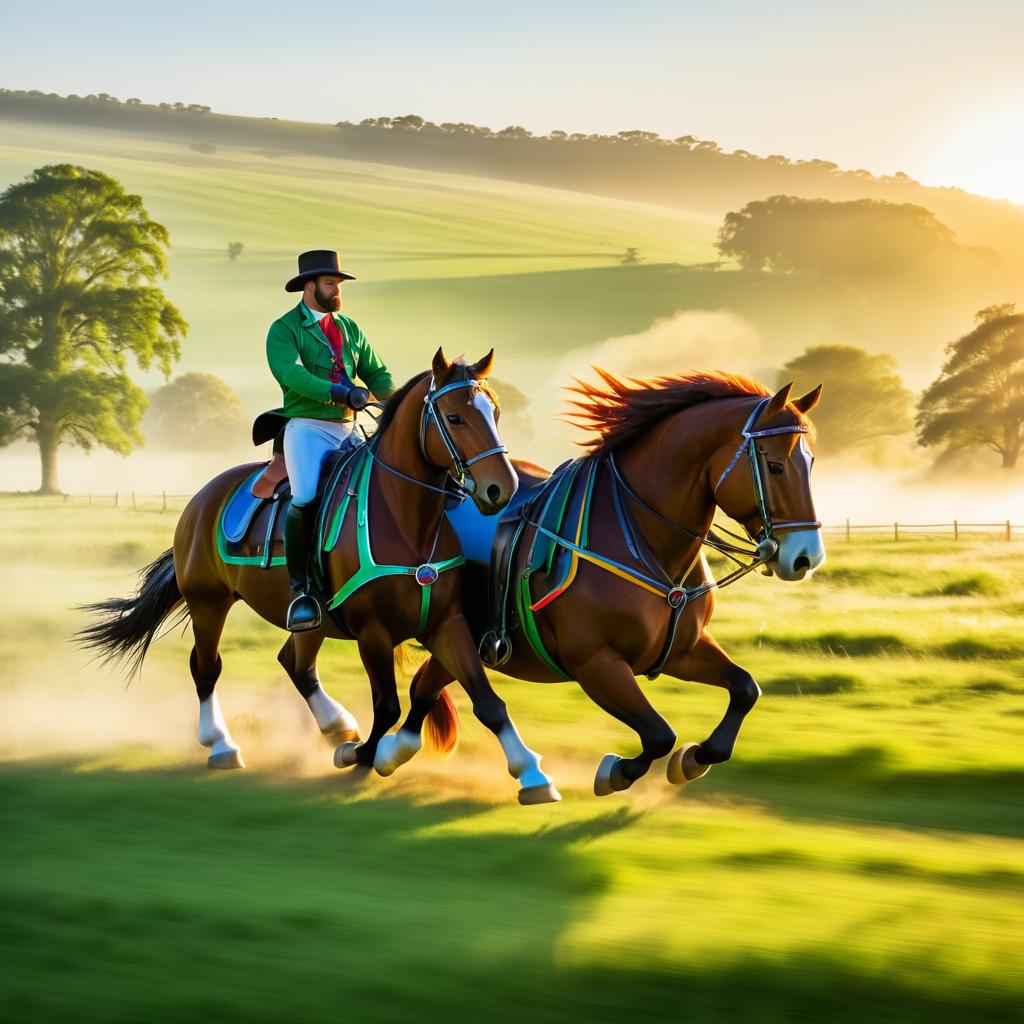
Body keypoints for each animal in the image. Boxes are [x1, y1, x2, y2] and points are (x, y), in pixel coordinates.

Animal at [76, 348, 565, 802]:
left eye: (494, 412)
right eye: (455, 416)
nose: (501, 489)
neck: (404, 517)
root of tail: (202, 497)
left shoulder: (447, 623)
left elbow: (487, 700)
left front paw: (532, 774)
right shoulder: (373, 631)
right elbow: (388, 707)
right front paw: (362, 757)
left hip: (311, 619)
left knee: (295, 664)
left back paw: (336, 724)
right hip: (208, 602)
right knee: (206, 667)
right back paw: (222, 746)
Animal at [368, 372, 823, 794]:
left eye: (811, 462)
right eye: (775, 465)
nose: (806, 557)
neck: (641, 539)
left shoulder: (681, 651)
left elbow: (745, 690)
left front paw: (695, 759)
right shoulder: (596, 663)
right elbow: (659, 734)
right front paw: (617, 771)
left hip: (459, 637)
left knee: (425, 686)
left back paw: (393, 751)